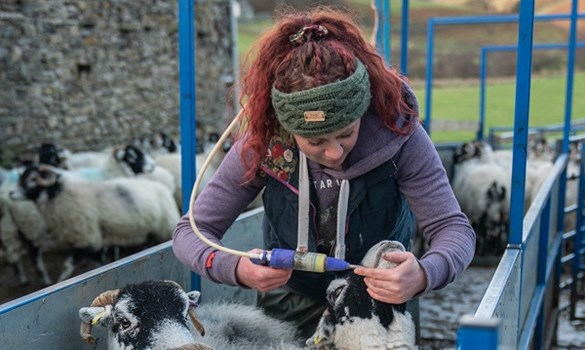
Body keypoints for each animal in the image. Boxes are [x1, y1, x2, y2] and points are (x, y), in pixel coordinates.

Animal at [8, 164, 178, 282]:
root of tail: (164, 188)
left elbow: (67, 265)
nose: (11, 193)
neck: (59, 194)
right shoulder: (96, 241)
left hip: (165, 227)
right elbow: (98, 263)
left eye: (32, 179)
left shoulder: (86, 239)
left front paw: (61, 280)